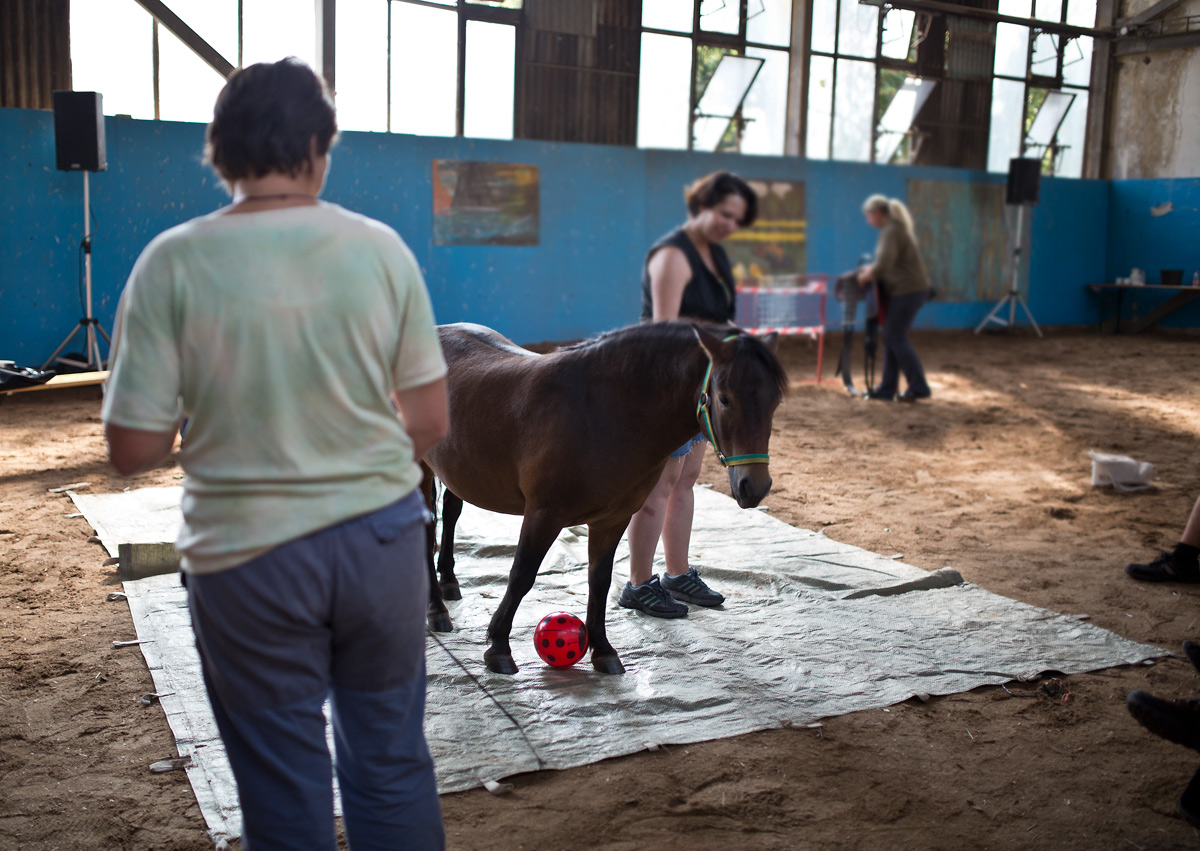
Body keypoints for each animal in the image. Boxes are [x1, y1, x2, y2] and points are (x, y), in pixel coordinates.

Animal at [422, 321, 787, 672]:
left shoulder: (612, 520)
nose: (755, 486)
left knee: (451, 513)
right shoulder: (543, 514)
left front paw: (603, 650)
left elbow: (599, 581)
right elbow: (522, 575)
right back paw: (437, 610)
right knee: (426, 534)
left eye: (775, 401)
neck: (601, 413)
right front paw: (498, 647)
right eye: (724, 398)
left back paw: (449, 582)